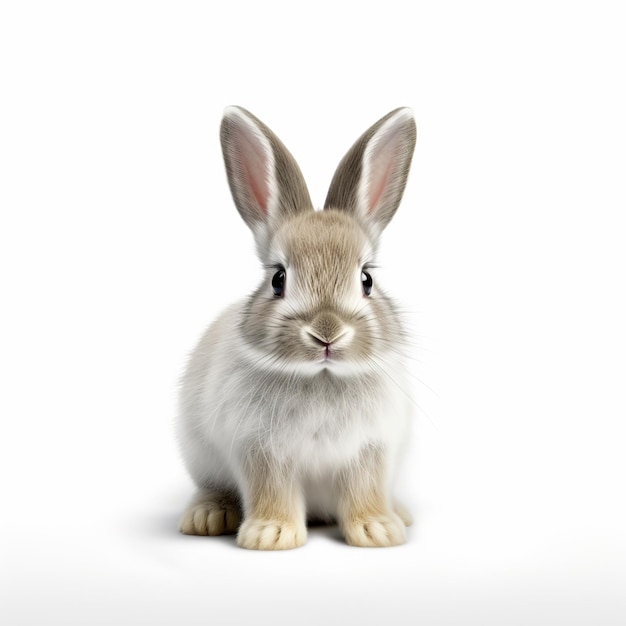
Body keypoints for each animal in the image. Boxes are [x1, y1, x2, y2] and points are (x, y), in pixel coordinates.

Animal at [177, 103, 414, 544]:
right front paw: (270, 535)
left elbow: (365, 489)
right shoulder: (260, 450)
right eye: (278, 278)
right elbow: (272, 491)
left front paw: (377, 530)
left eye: (366, 279)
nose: (327, 334)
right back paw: (207, 517)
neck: (321, 378)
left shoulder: (371, 451)